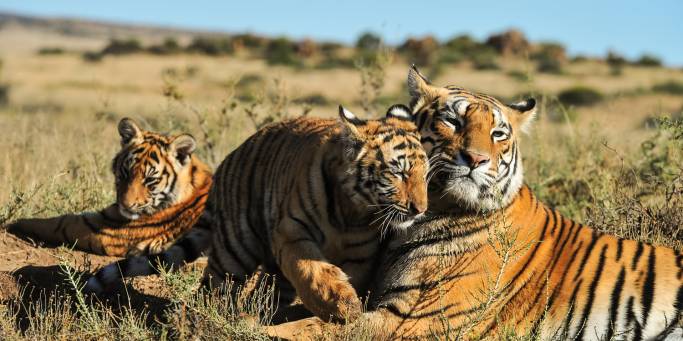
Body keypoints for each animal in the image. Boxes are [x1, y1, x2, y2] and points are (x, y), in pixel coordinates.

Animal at [5, 118, 212, 256]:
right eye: (126, 172)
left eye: (149, 180)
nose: (126, 205)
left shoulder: (103, 228)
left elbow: (57, 223)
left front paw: (13, 223)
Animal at [84, 105, 428, 322]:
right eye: (398, 172)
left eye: (425, 174)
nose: (420, 209)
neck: (352, 212)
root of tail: (227, 162)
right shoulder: (291, 230)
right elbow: (311, 268)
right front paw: (340, 303)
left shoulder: (361, 254)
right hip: (236, 248)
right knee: (214, 288)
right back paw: (209, 320)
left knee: (268, 290)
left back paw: (260, 313)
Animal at [268, 65, 683, 338]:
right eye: (453, 122)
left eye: (498, 133)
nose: (477, 159)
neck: (437, 210)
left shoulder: (416, 318)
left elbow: (309, 330)